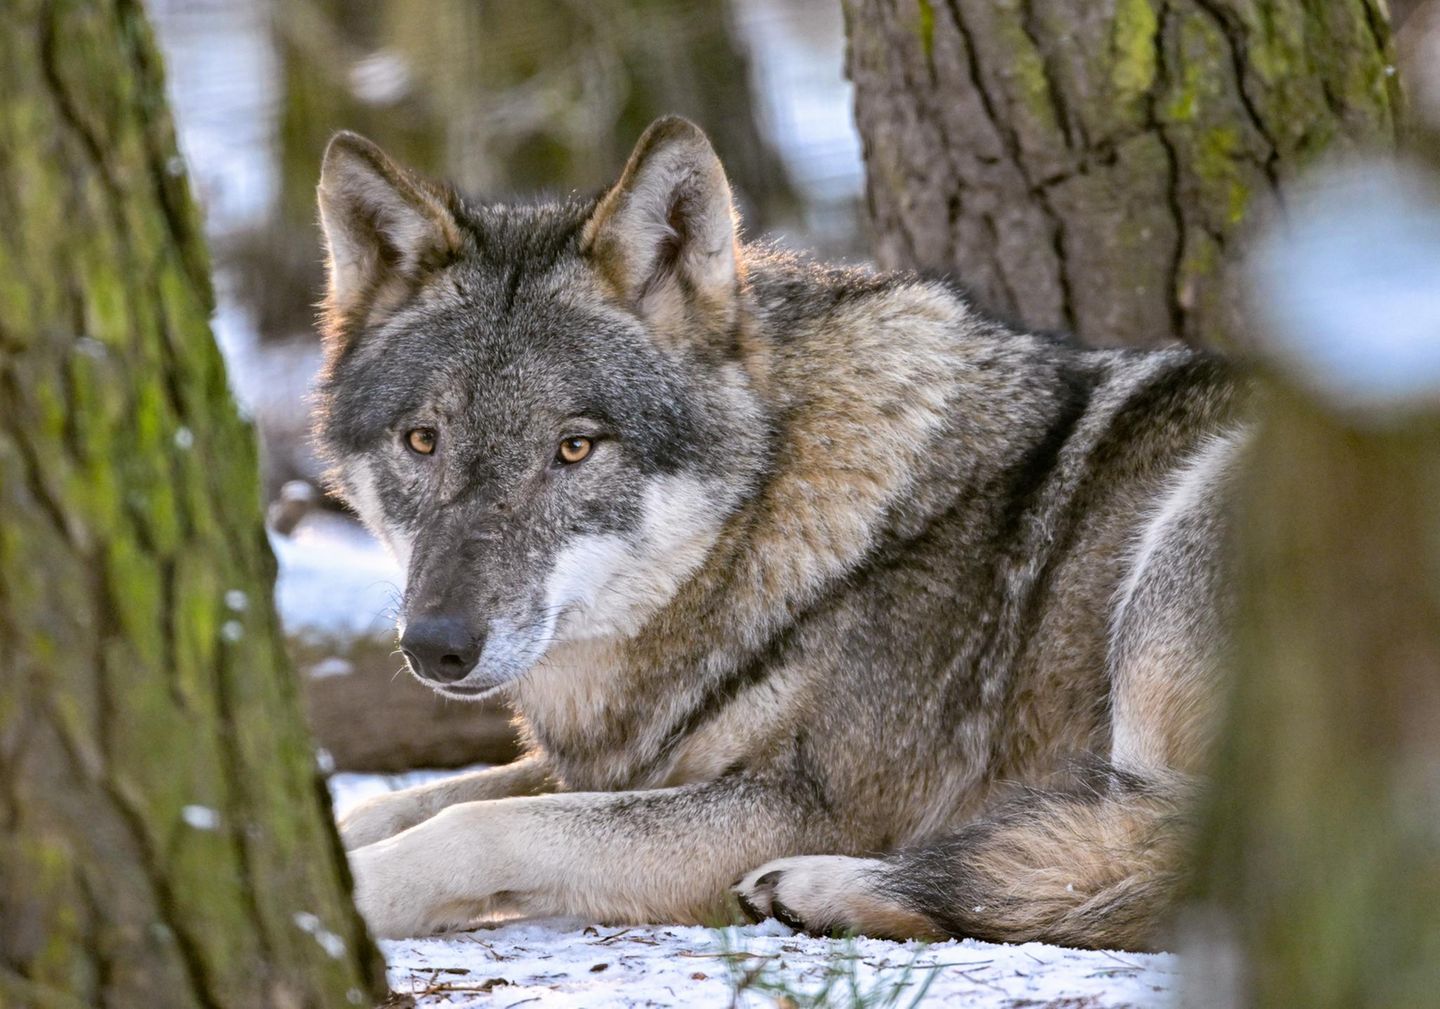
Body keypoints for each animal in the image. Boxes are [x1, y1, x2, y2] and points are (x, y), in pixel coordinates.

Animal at [314, 116, 1245, 951]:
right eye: (423, 440)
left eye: (573, 447)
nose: (435, 645)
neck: (764, 523)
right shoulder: (645, 760)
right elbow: (403, 801)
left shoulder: (802, 804)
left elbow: (481, 823)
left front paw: (343, 906)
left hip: (1180, 549)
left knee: (1158, 858)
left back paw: (827, 887)